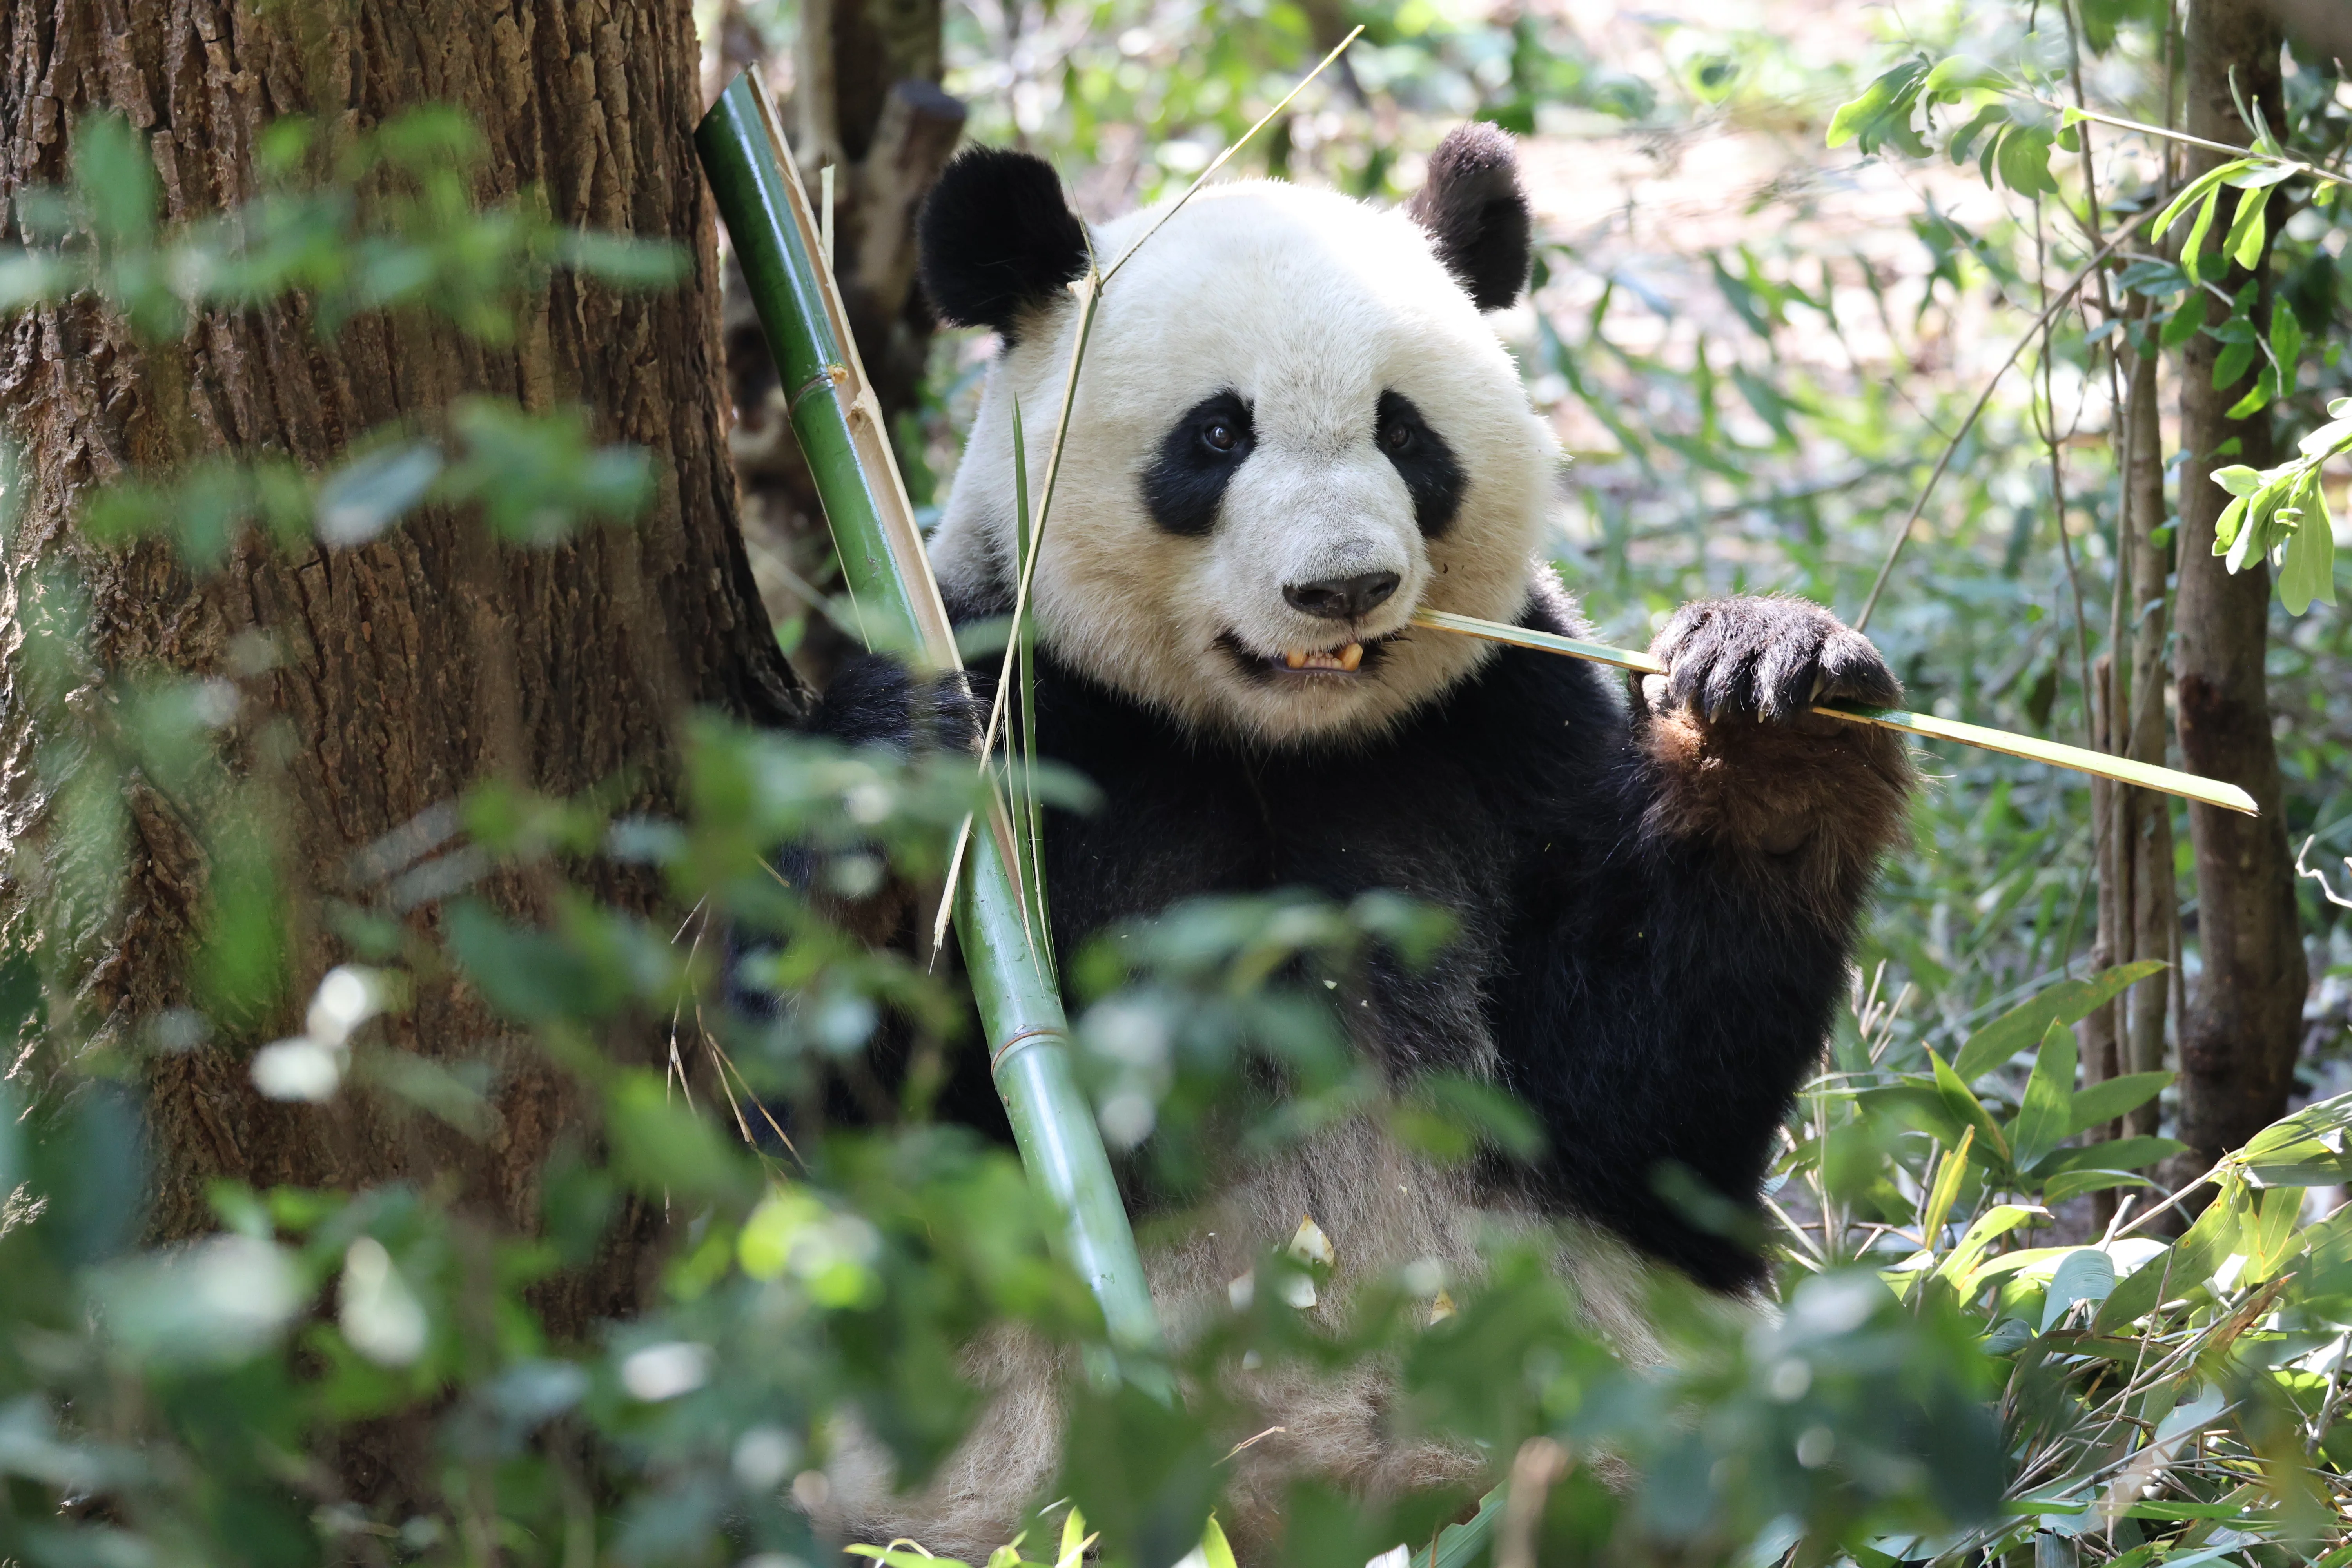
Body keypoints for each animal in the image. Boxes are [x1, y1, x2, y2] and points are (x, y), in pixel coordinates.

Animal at [805, 124, 1916, 1557]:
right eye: (1218, 434)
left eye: (1404, 432)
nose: (1344, 586)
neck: (1280, 748)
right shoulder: (1037, 700)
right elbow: (866, 1130)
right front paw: (883, 775)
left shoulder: (1514, 729)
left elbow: (1641, 1110)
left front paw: (1773, 707)